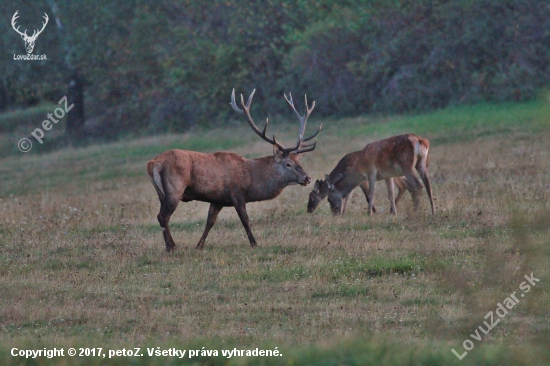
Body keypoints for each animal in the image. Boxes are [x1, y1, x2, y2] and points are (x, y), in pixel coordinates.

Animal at [147, 88, 324, 252]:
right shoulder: (236, 193)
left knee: (162, 216)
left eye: (298, 161)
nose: (307, 178)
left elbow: (210, 222)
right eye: (288, 164)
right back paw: (171, 247)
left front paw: (199, 245)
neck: (251, 177)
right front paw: (254, 243)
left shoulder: (217, 199)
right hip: (174, 189)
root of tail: (152, 163)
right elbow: (245, 219)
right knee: (163, 216)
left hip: (161, 193)